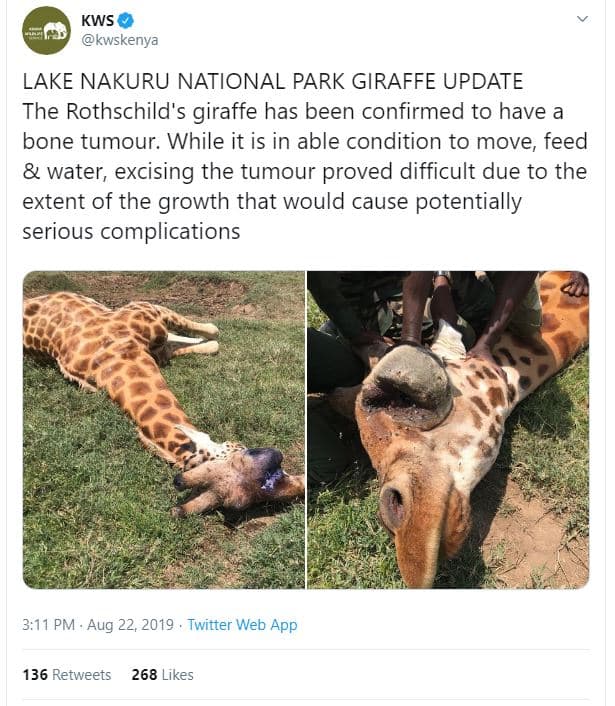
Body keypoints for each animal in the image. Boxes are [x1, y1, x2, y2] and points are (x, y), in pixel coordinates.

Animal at [23, 291, 305, 517]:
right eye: (243, 453)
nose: (299, 487)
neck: (116, 355)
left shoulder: (152, 326)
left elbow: (206, 336)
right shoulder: (147, 312)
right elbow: (211, 335)